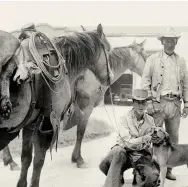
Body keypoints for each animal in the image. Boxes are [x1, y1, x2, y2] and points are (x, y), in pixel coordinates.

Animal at [0, 23, 113, 187]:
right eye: (108, 49)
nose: (110, 78)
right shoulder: (47, 125)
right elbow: (39, 161)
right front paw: (78, 159)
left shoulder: (30, 124)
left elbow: (26, 158)